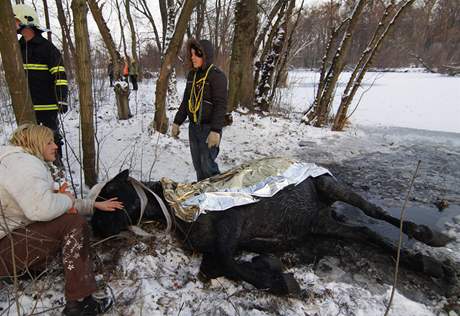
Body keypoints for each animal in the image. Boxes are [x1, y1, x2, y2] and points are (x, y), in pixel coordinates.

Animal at [90, 164, 456, 296]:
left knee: (375, 213)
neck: (179, 206)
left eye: (110, 193)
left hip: (332, 188)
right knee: (367, 234)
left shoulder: (232, 225)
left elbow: (229, 263)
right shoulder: (215, 248)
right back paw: (427, 264)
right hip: (322, 225)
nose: (93, 229)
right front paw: (269, 268)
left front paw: (282, 280)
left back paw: (430, 239)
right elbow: (214, 268)